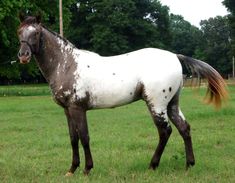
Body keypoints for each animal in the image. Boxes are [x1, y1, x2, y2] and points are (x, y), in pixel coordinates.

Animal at [17, 15, 228, 176]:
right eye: (19, 32)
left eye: (36, 33)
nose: (23, 55)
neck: (67, 64)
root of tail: (175, 56)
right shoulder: (67, 110)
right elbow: (73, 138)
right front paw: (72, 169)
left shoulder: (78, 109)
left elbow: (84, 137)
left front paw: (87, 169)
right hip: (172, 104)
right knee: (184, 128)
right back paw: (188, 165)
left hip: (157, 105)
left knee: (165, 132)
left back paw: (152, 165)